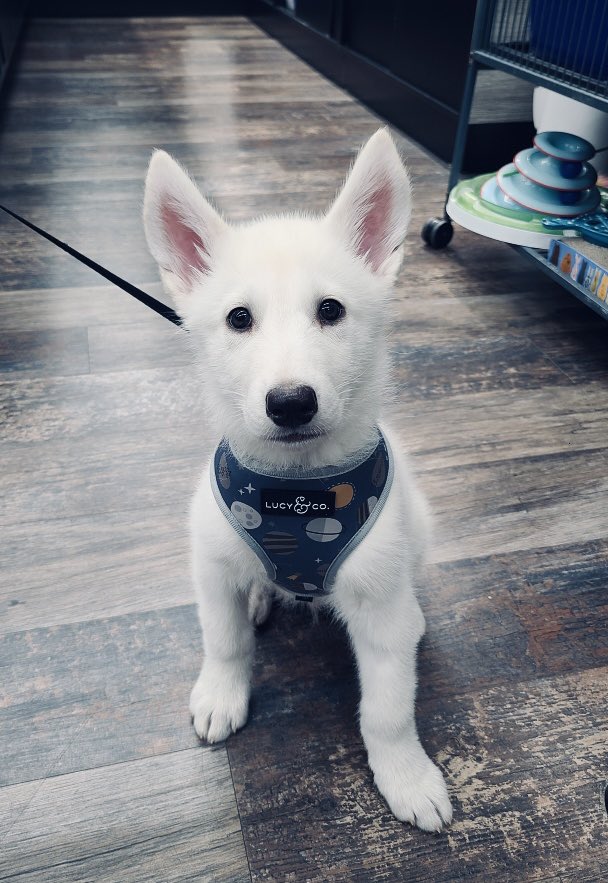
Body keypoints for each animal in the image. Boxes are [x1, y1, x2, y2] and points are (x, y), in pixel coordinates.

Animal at [144, 128, 452, 832]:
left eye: (331, 310)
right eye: (238, 319)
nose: (290, 403)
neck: (295, 491)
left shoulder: (377, 602)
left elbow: (388, 709)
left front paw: (406, 776)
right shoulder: (210, 565)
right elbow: (223, 640)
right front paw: (221, 693)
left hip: (418, 524)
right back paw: (262, 595)